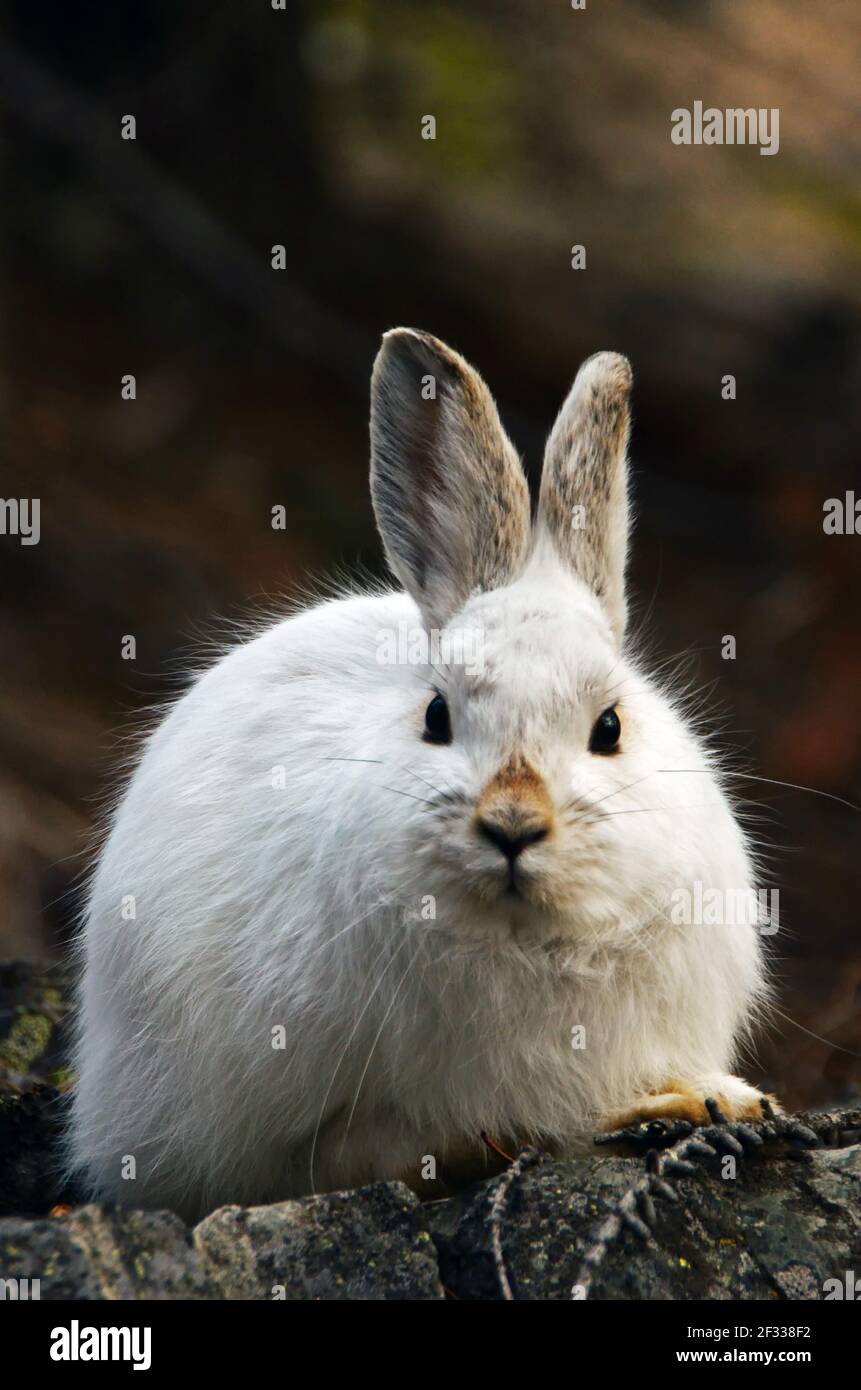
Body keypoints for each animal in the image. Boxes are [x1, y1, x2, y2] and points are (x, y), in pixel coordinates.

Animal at [67, 328, 774, 1220]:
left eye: (608, 728)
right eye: (436, 717)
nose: (512, 826)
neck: (521, 937)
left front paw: (713, 1098)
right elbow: (350, 1149)